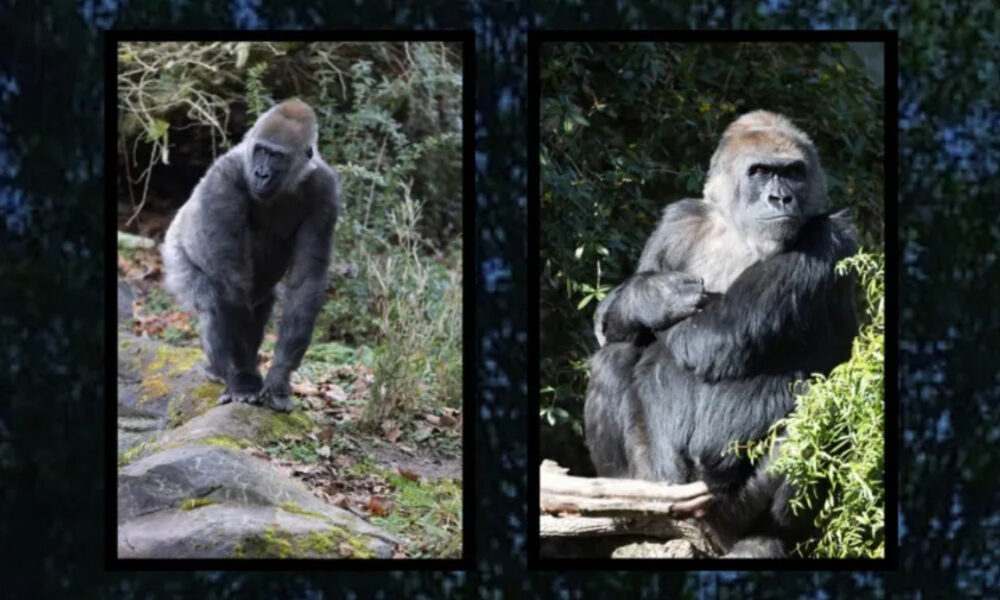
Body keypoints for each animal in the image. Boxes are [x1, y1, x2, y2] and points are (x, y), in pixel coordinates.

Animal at [162, 99, 341, 412]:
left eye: (276, 156)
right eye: (261, 151)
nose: (261, 174)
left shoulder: (325, 189)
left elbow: (306, 281)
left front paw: (278, 376)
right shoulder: (222, 182)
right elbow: (230, 285)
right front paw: (243, 380)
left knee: (258, 306)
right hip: (175, 253)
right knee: (212, 300)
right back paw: (222, 371)